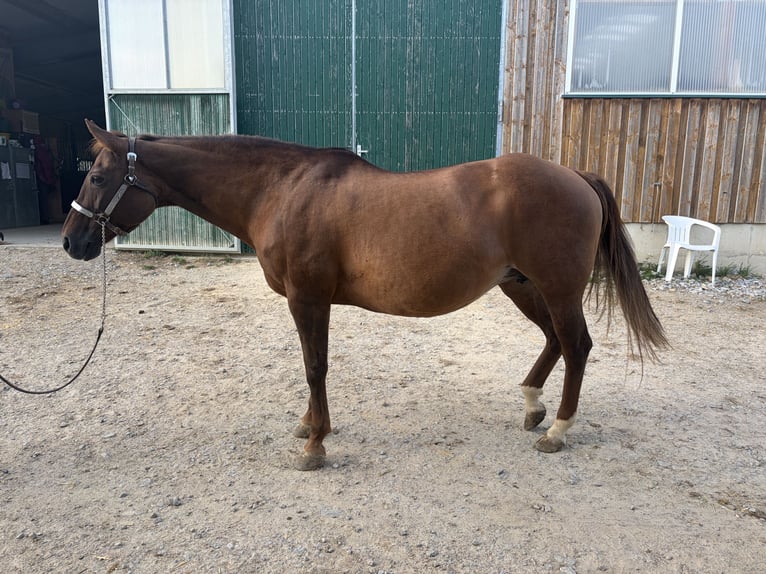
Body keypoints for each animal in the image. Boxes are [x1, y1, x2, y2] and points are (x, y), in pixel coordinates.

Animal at [62, 120, 667, 470]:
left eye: (97, 176)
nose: (72, 241)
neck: (282, 189)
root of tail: (576, 175)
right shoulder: (311, 301)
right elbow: (313, 366)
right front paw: (310, 425)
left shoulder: (307, 298)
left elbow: (315, 366)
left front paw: (314, 445)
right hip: (521, 284)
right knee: (555, 341)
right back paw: (533, 406)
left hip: (557, 286)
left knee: (577, 345)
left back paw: (558, 430)